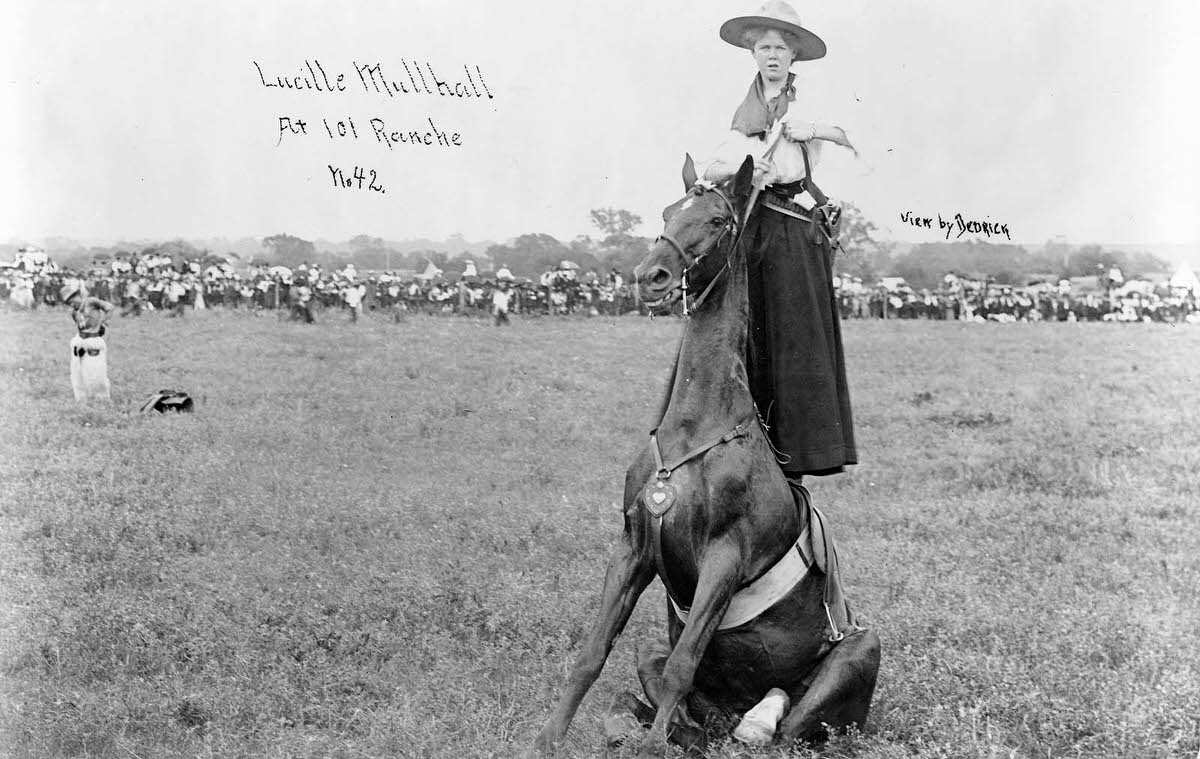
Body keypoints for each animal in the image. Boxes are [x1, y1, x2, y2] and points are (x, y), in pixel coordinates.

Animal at [535, 157, 883, 754]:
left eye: (718, 219)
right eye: (668, 212)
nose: (650, 275)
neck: (697, 427)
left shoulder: (724, 557)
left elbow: (684, 662)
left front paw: (650, 747)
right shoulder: (632, 546)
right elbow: (592, 653)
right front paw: (550, 737)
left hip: (858, 651)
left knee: (785, 731)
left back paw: (757, 720)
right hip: (661, 659)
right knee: (695, 722)